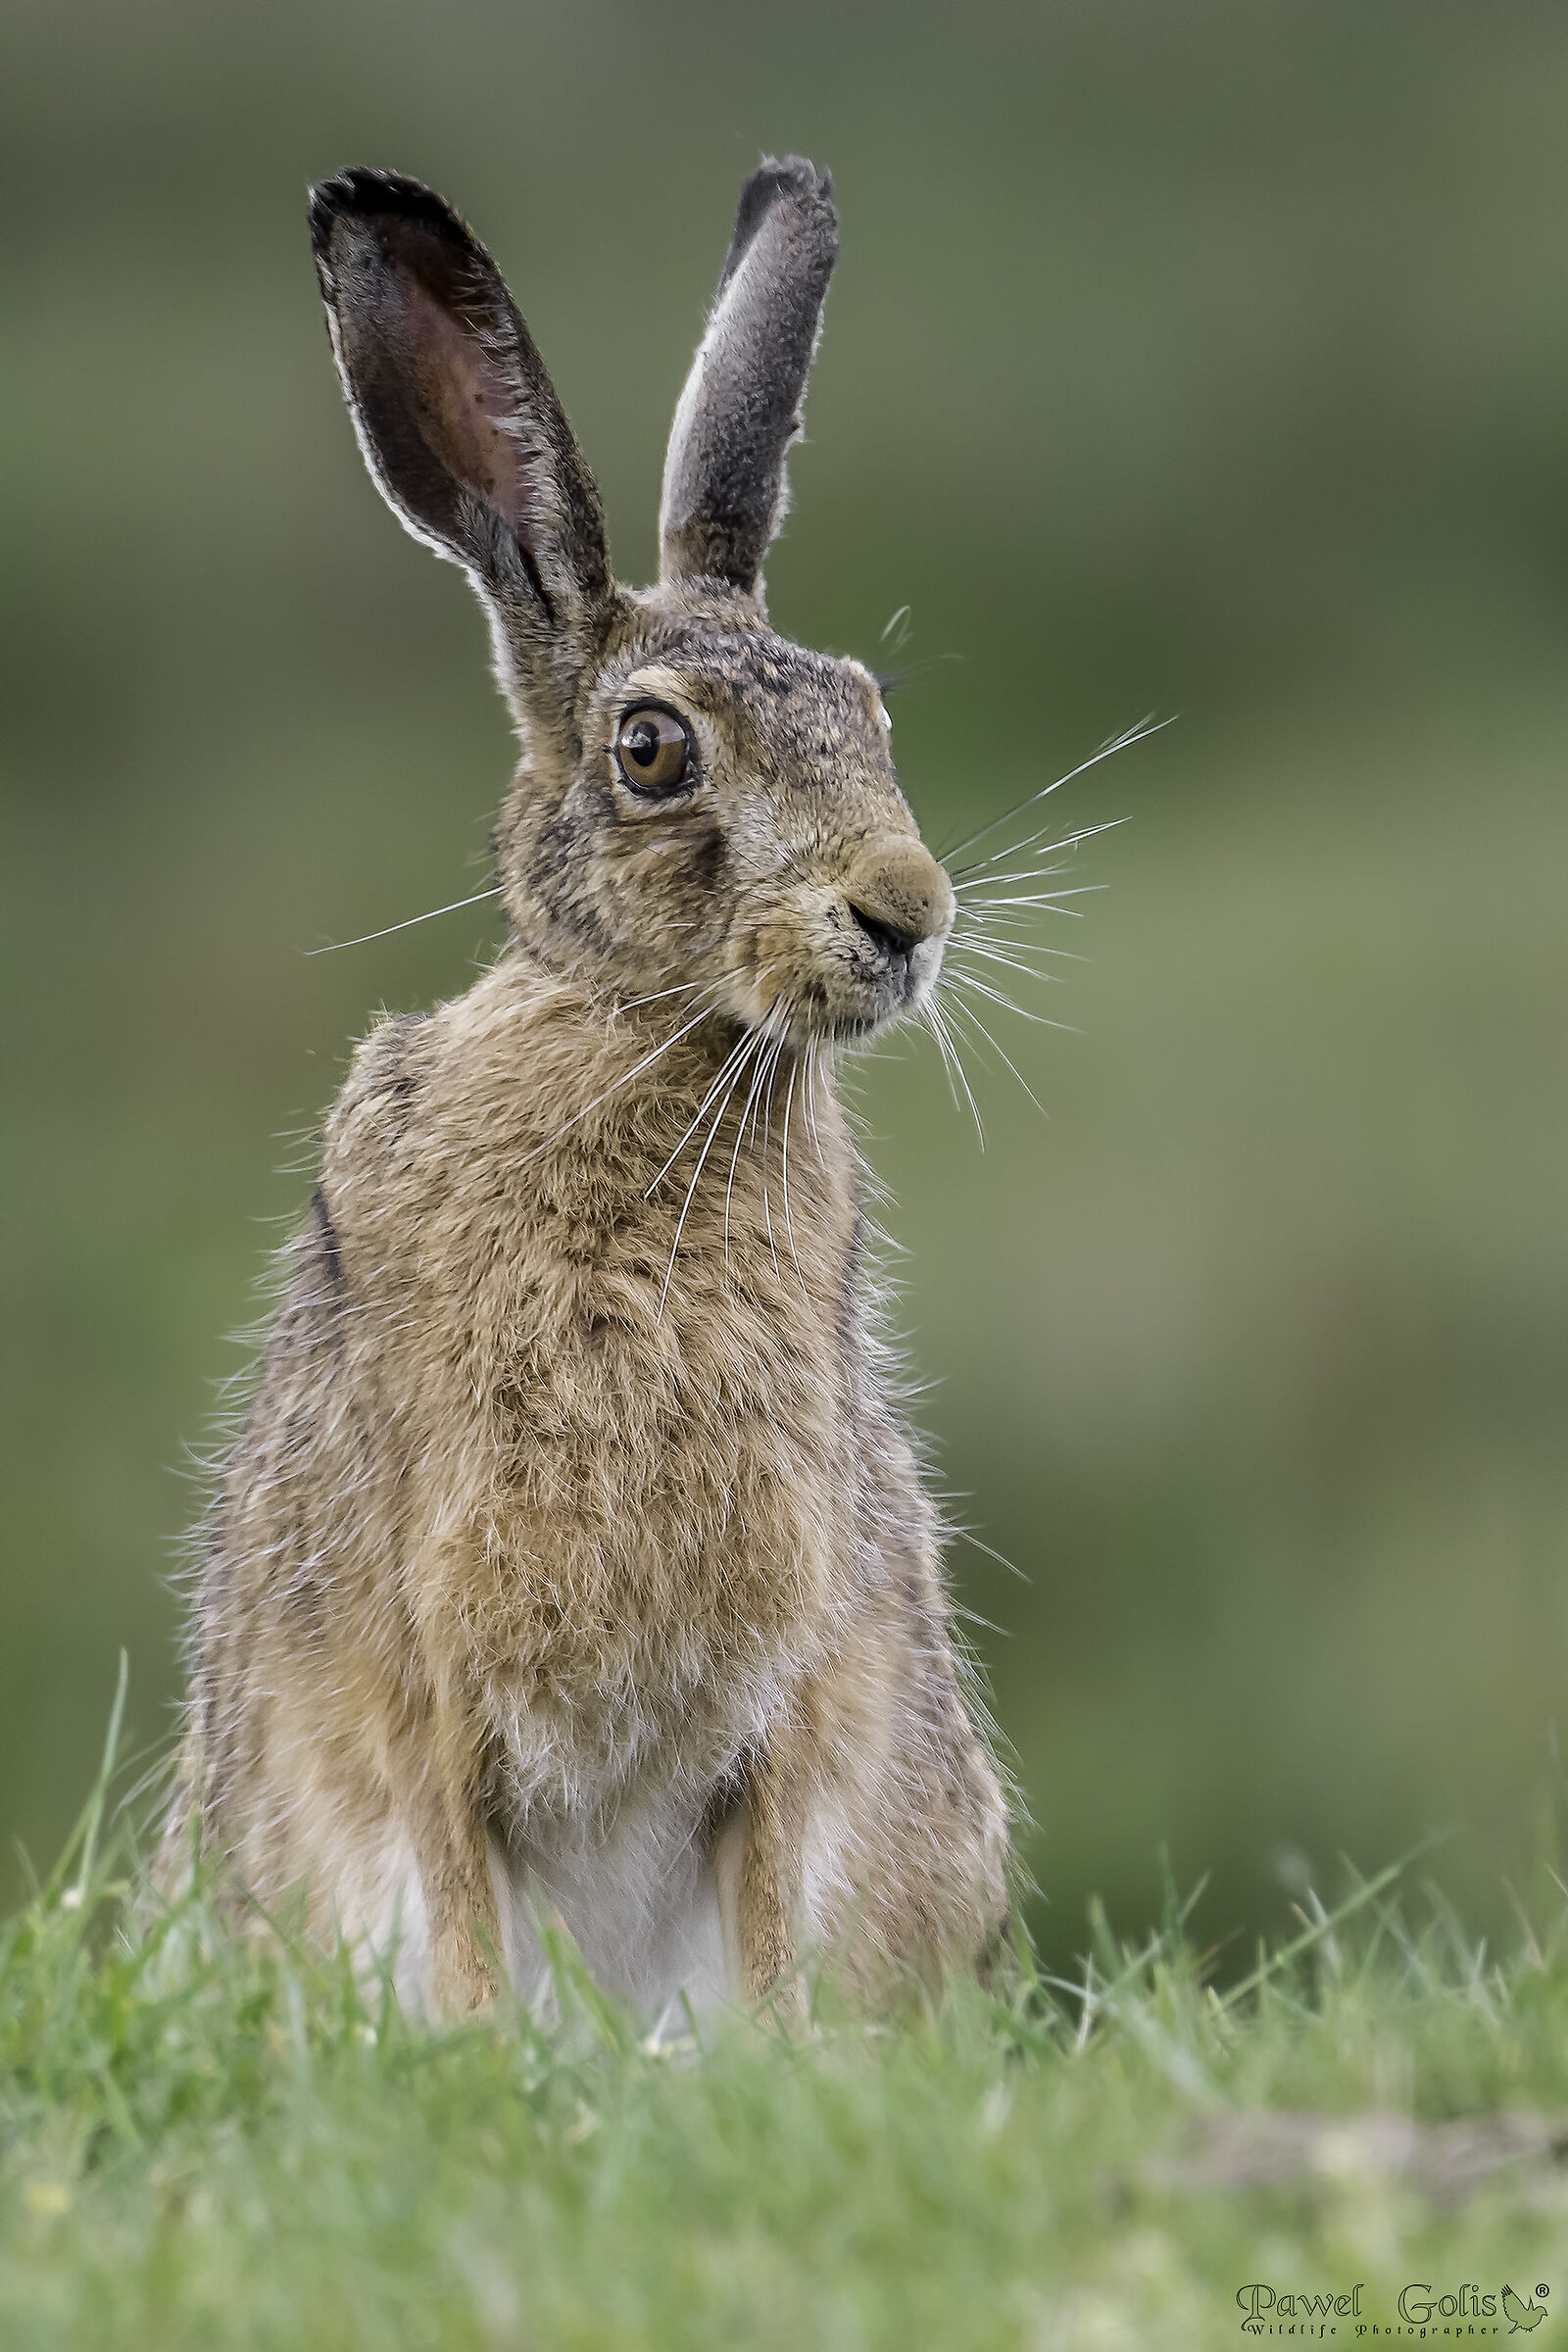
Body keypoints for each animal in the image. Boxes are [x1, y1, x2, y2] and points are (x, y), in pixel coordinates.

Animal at [164, 156, 1011, 2022]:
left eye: (870, 715)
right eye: (652, 751)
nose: (906, 914)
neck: (652, 1047)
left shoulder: (788, 1683)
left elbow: (769, 1900)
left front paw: (775, 2062)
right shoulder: (419, 1674)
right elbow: (462, 1901)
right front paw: (486, 2055)